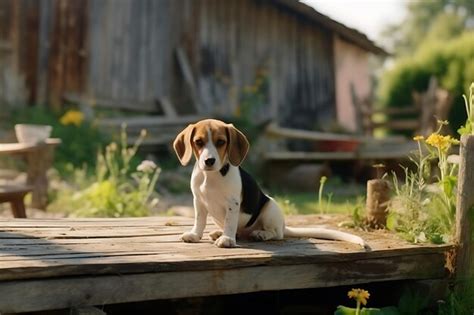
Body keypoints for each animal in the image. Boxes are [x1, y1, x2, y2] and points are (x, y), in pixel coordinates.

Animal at [172, 118, 368, 249]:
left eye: (221, 142)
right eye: (198, 142)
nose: (209, 161)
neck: (211, 176)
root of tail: (284, 225)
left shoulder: (232, 203)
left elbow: (229, 221)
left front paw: (227, 239)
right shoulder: (198, 201)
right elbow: (200, 220)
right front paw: (195, 235)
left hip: (270, 208)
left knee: (276, 234)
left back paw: (260, 234)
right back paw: (220, 232)